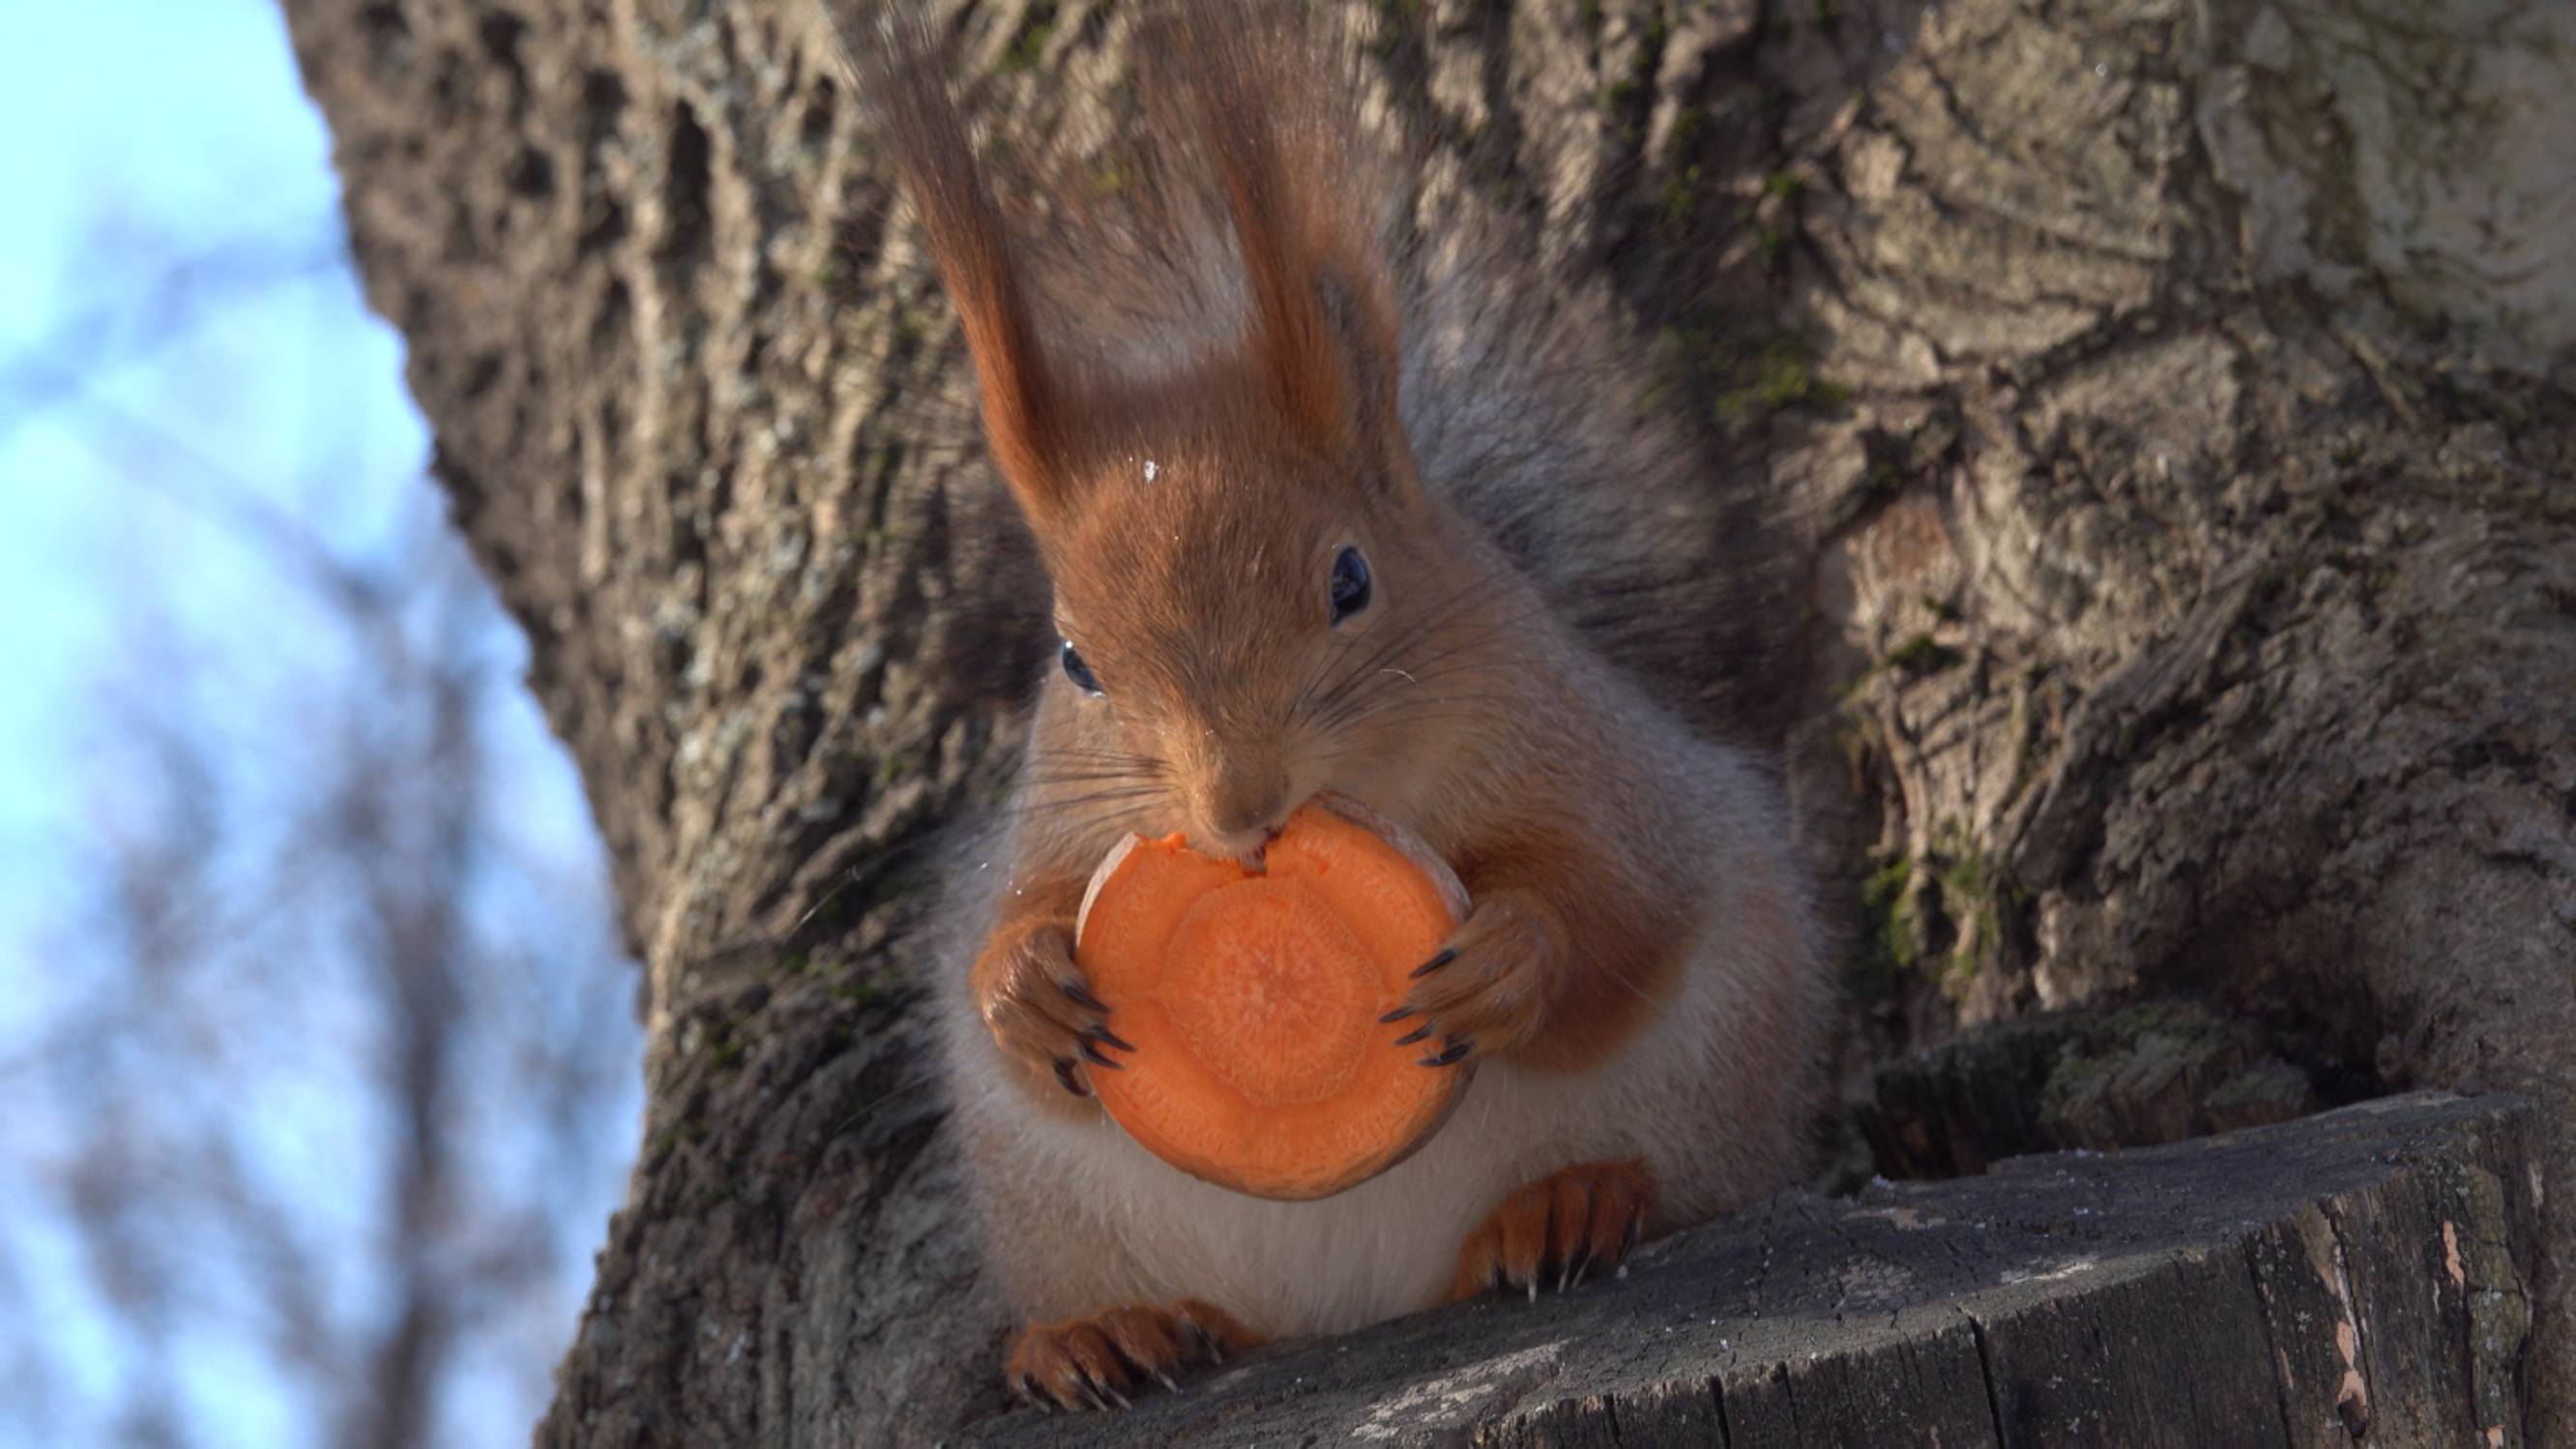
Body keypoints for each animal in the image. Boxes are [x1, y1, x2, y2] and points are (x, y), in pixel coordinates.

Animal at [844, 2, 1833, 1412]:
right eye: (1075, 661)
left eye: (1351, 579)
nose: (1237, 808)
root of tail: (1359, 1307)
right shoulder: (1053, 825)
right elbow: (1010, 921)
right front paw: (1023, 988)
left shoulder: (1594, 764)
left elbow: (1619, 903)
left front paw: (1508, 957)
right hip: (1057, 1207)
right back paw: (1099, 1333)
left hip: (1719, 1070)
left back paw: (1573, 1202)